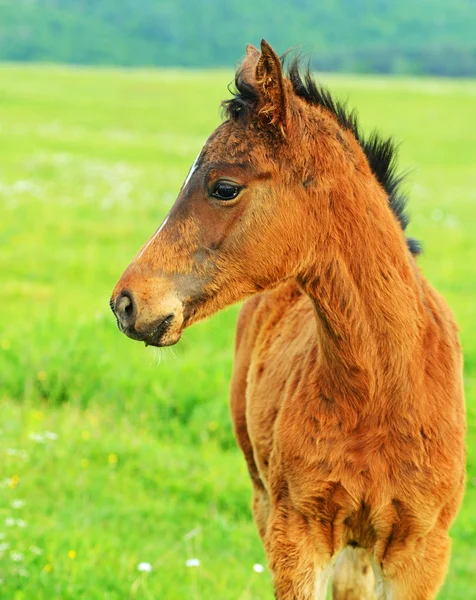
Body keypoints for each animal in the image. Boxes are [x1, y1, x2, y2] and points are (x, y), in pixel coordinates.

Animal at [110, 39, 464, 596]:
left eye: (224, 187)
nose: (127, 302)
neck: (383, 394)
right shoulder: (297, 532)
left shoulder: (422, 549)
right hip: (263, 498)